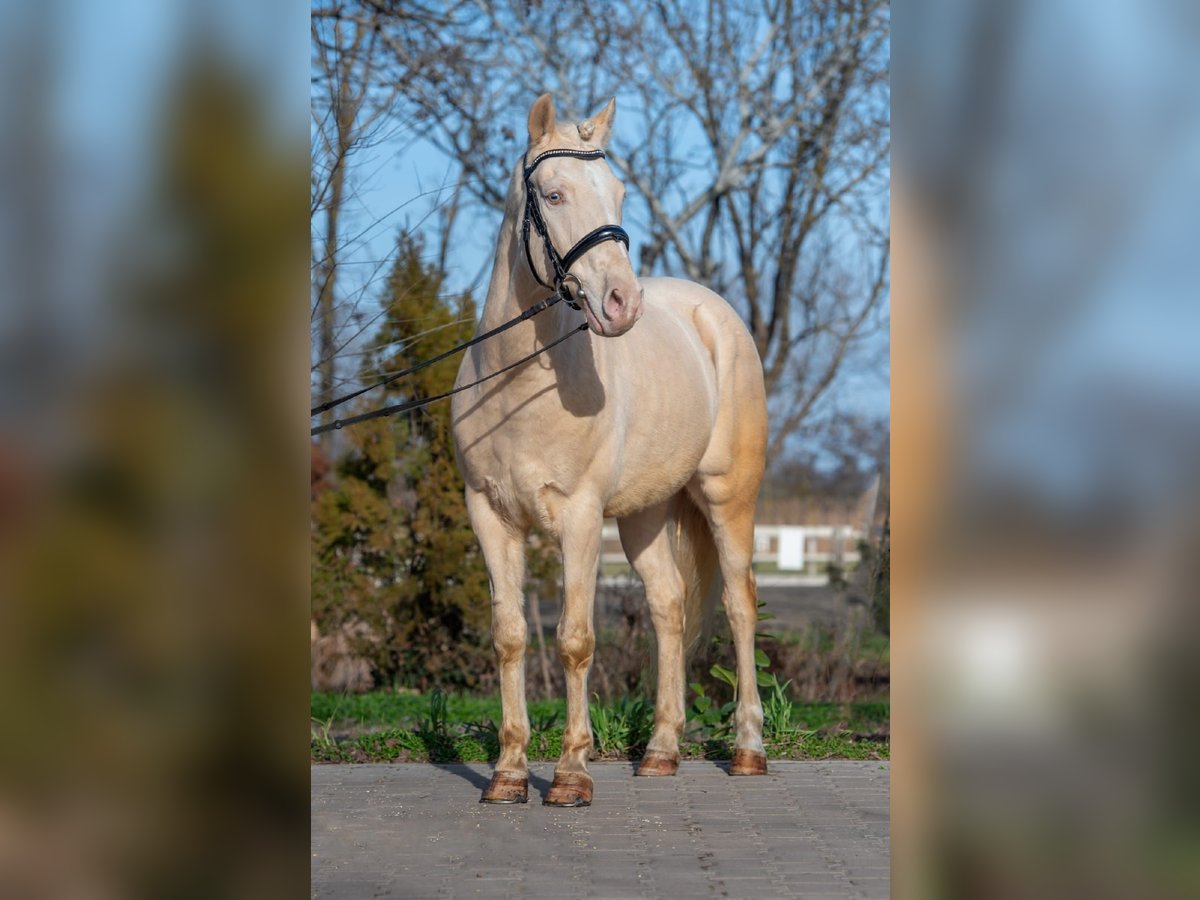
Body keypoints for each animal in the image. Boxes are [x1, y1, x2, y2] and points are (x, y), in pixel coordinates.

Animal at [451, 93, 768, 811]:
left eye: (619, 191)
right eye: (553, 193)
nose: (622, 304)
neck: (520, 383)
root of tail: (714, 314)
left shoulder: (578, 517)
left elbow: (574, 640)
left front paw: (570, 774)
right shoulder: (490, 516)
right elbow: (510, 638)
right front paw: (508, 775)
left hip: (726, 498)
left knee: (739, 605)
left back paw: (747, 750)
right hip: (646, 515)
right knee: (668, 607)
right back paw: (660, 753)